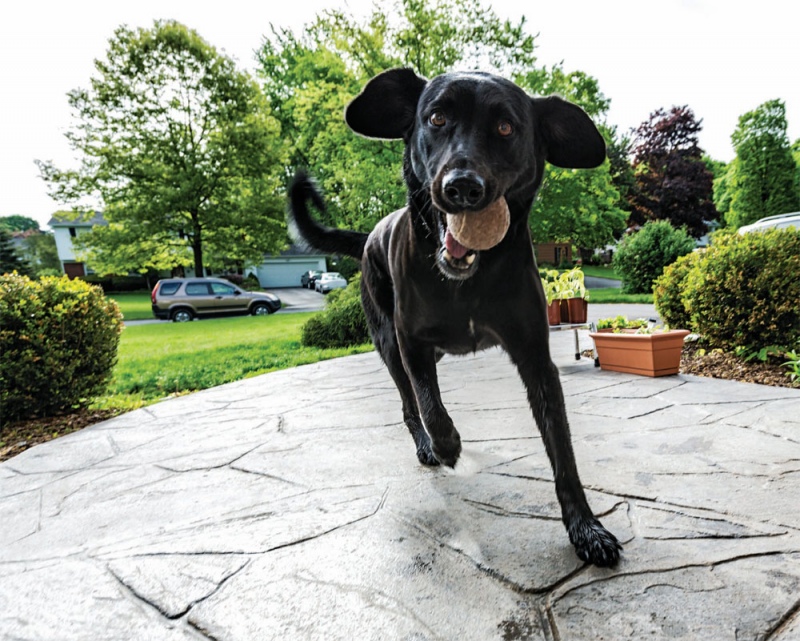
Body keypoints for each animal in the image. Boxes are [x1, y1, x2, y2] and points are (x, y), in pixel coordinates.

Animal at [290, 67, 620, 564]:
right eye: (437, 118)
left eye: (505, 127)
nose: (462, 186)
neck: (469, 281)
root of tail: (370, 233)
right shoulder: (411, 342)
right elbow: (431, 406)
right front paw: (447, 445)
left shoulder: (535, 357)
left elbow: (562, 449)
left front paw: (586, 527)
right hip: (388, 344)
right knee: (409, 404)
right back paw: (429, 447)